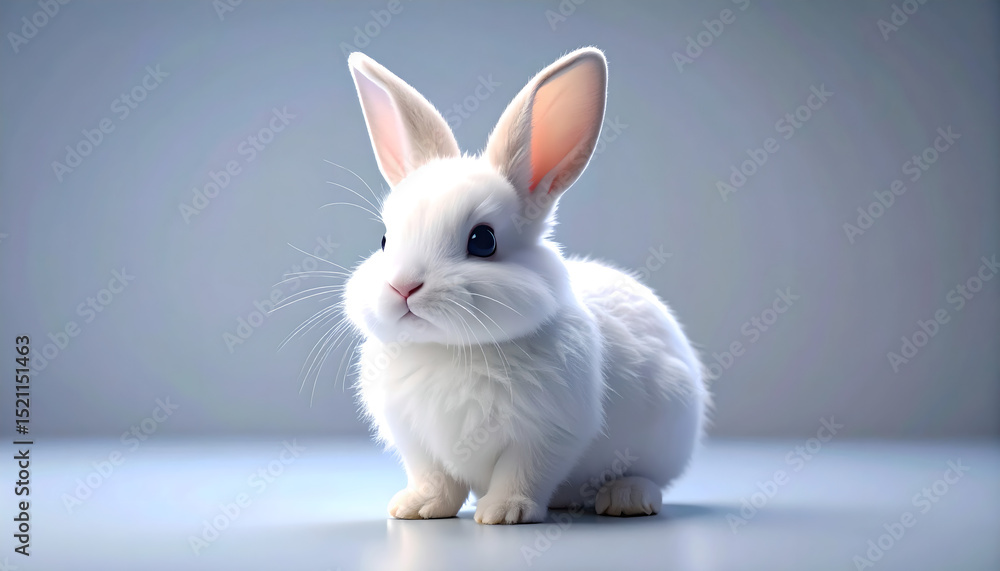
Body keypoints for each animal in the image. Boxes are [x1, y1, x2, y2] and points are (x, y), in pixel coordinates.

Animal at [341, 47, 710, 525]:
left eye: (483, 241)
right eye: (385, 240)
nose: (403, 287)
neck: (449, 349)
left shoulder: (547, 433)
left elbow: (522, 473)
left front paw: (504, 513)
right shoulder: (418, 441)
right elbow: (436, 479)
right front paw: (416, 508)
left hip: (664, 435)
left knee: (649, 477)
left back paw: (626, 499)